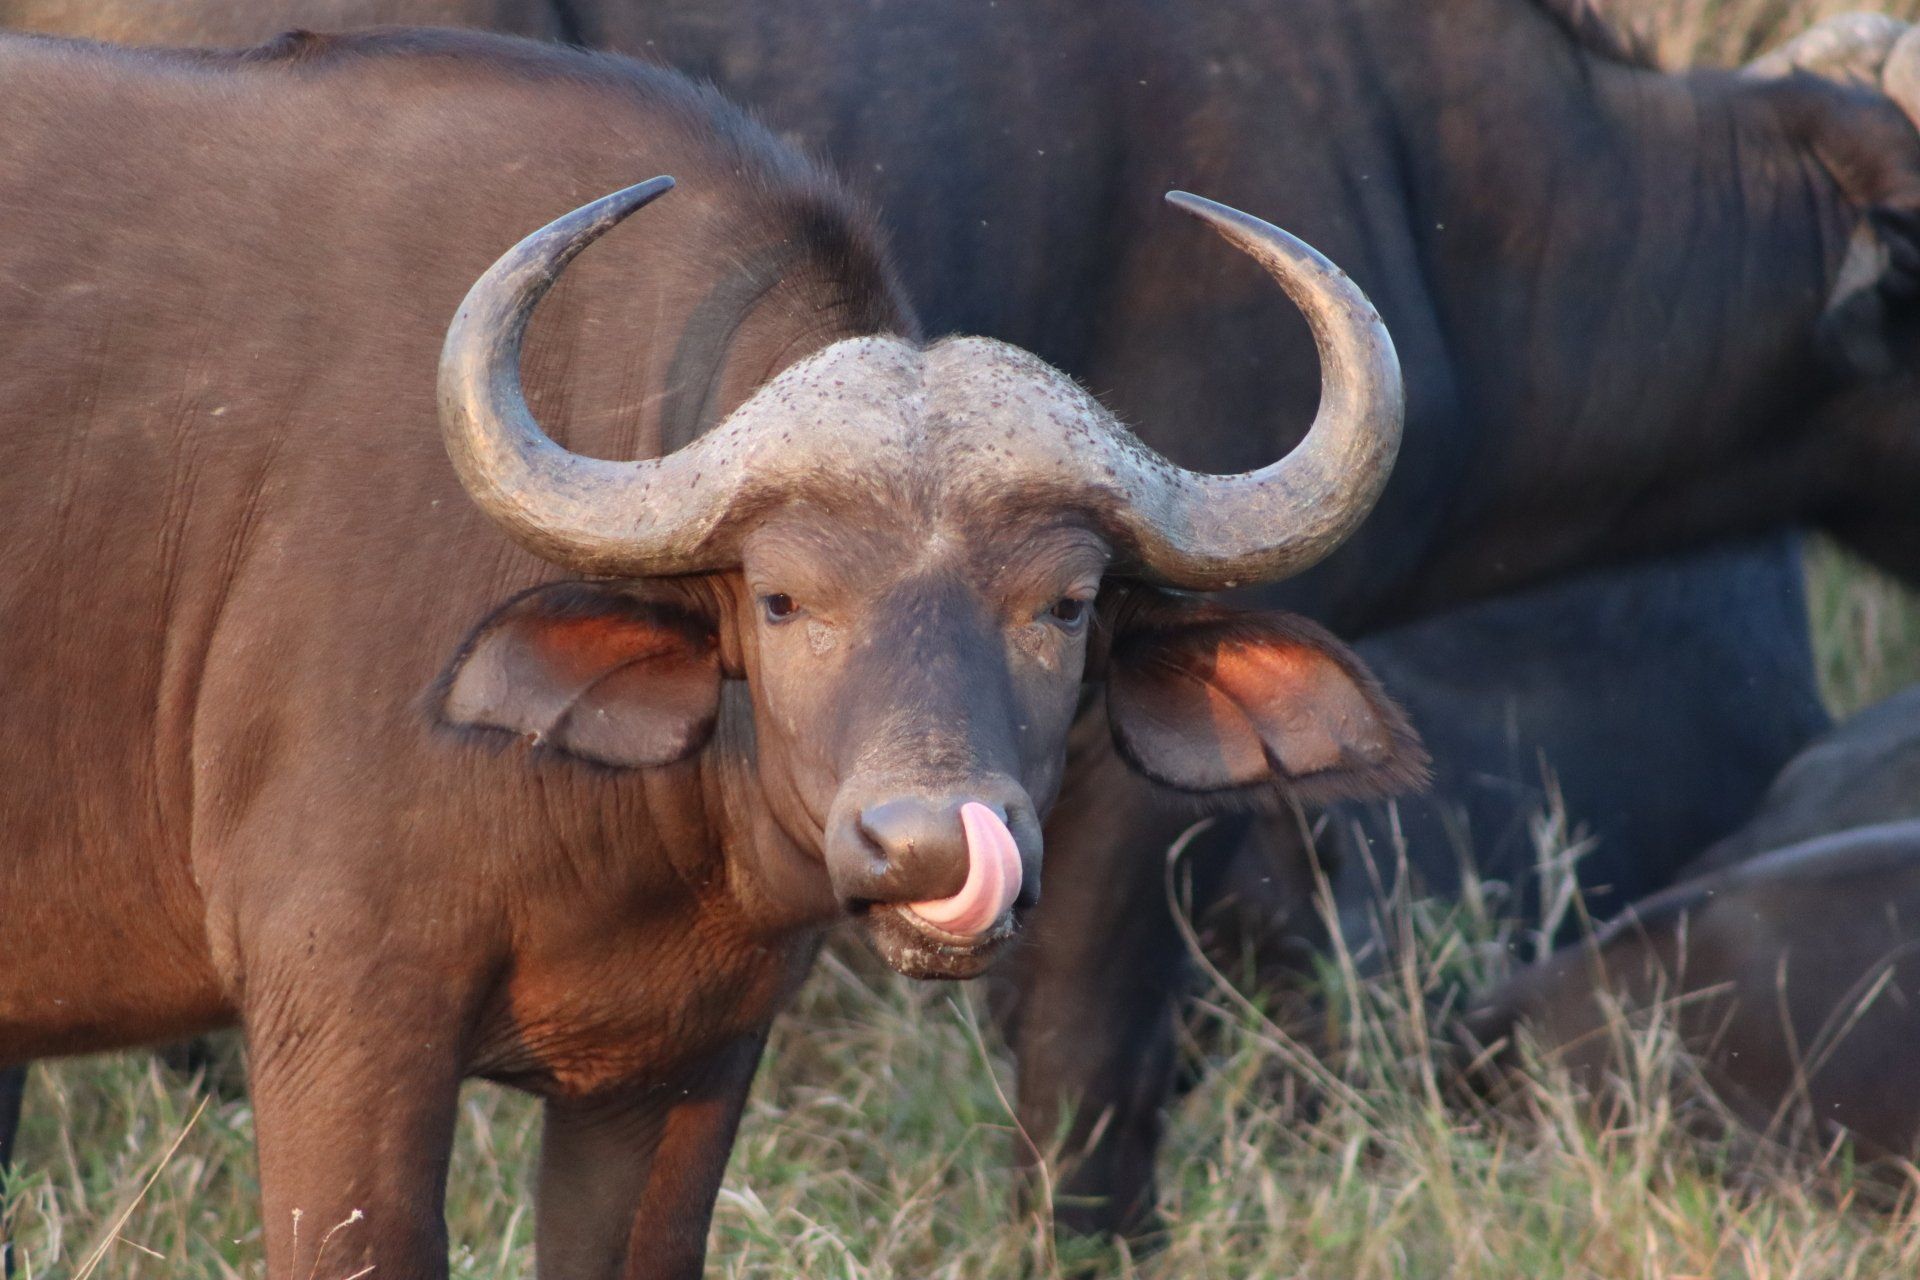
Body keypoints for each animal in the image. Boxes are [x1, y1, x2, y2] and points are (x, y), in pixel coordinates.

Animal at [9, 0, 1920, 1241]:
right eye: (781, 598)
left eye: (1065, 606)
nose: (936, 851)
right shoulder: (347, 1026)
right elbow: (1087, 1067)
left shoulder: (681, 1070)